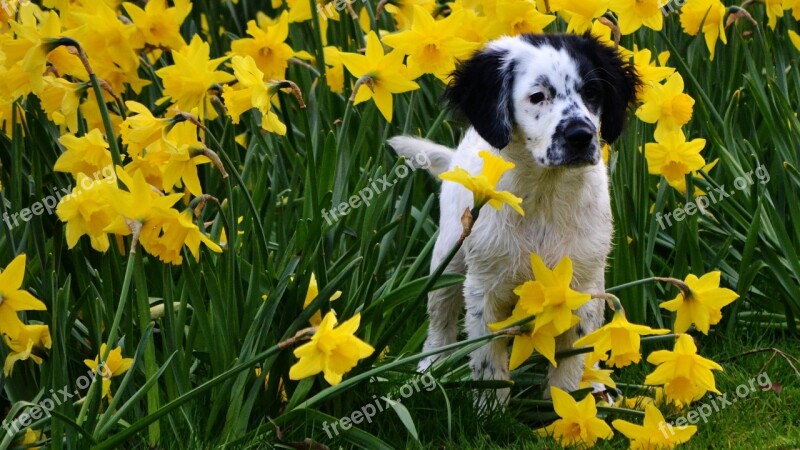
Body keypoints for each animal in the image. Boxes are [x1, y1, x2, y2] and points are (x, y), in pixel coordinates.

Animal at [388, 33, 636, 402]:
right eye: (537, 97)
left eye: (592, 93)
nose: (581, 136)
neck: (545, 195)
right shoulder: (484, 286)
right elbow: (488, 358)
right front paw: (490, 407)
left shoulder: (582, 284)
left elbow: (571, 357)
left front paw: (567, 406)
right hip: (449, 256)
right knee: (440, 318)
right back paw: (431, 369)